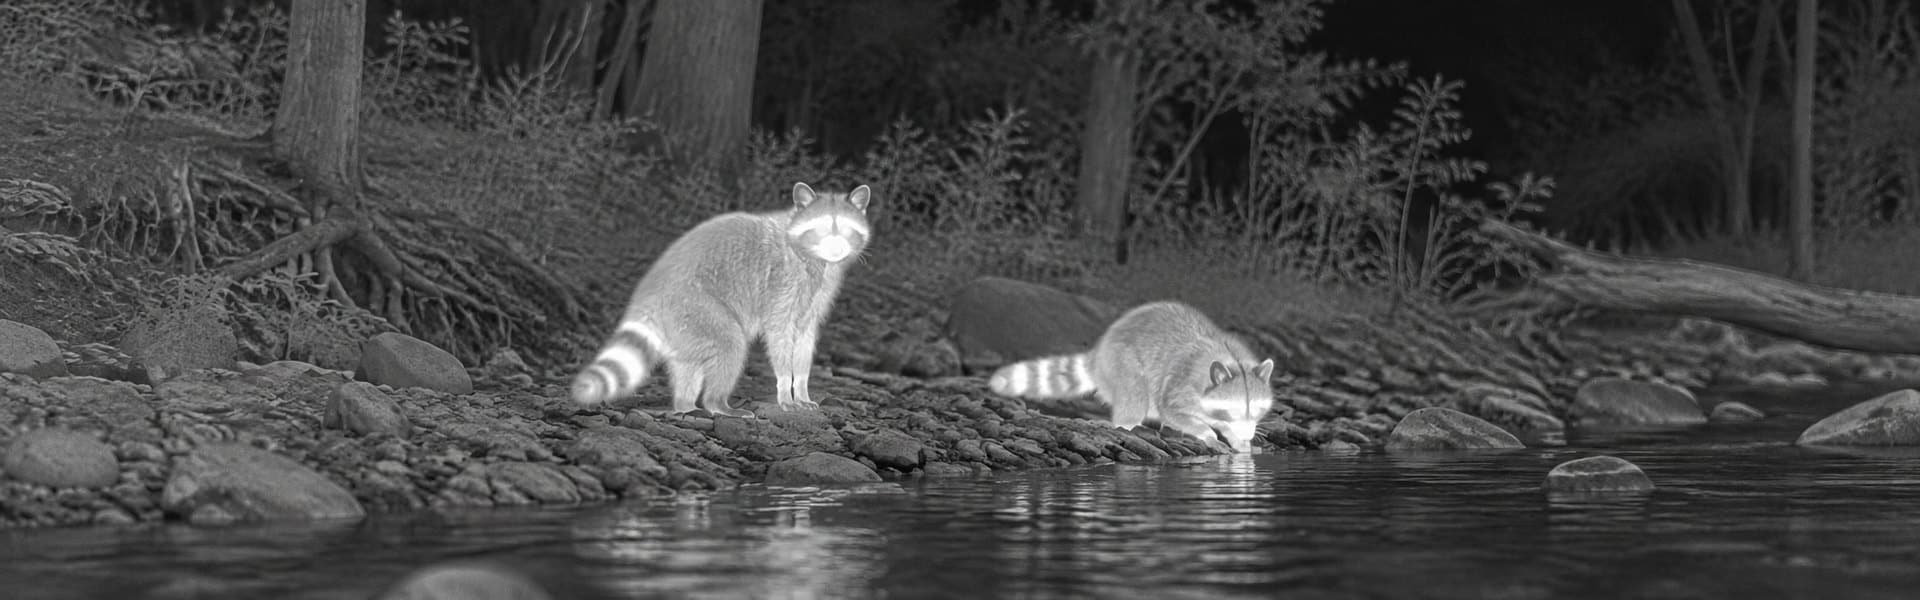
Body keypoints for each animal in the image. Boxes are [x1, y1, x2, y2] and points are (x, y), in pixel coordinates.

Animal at [570, 182, 872, 417]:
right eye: (821, 228)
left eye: (846, 228)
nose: (836, 249)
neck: (817, 259)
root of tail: (648, 294)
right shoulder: (782, 285)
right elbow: (779, 336)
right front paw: (786, 390)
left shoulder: (816, 296)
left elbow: (805, 342)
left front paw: (802, 389)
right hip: (695, 305)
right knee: (730, 345)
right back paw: (717, 403)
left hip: (682, 326)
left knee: (688, 365)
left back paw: (685, 404)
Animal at [988, 301, 1276, 452]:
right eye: (1233, 409)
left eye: (1257, 409)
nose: (1248, 434)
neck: (1229, 359)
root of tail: (1100, 350)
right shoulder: (1180, 384)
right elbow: (1174, 411)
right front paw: (1206, 432)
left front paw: (1239, 440)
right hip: (1123, 364)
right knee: (1135, 398)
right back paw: (1127, 426)